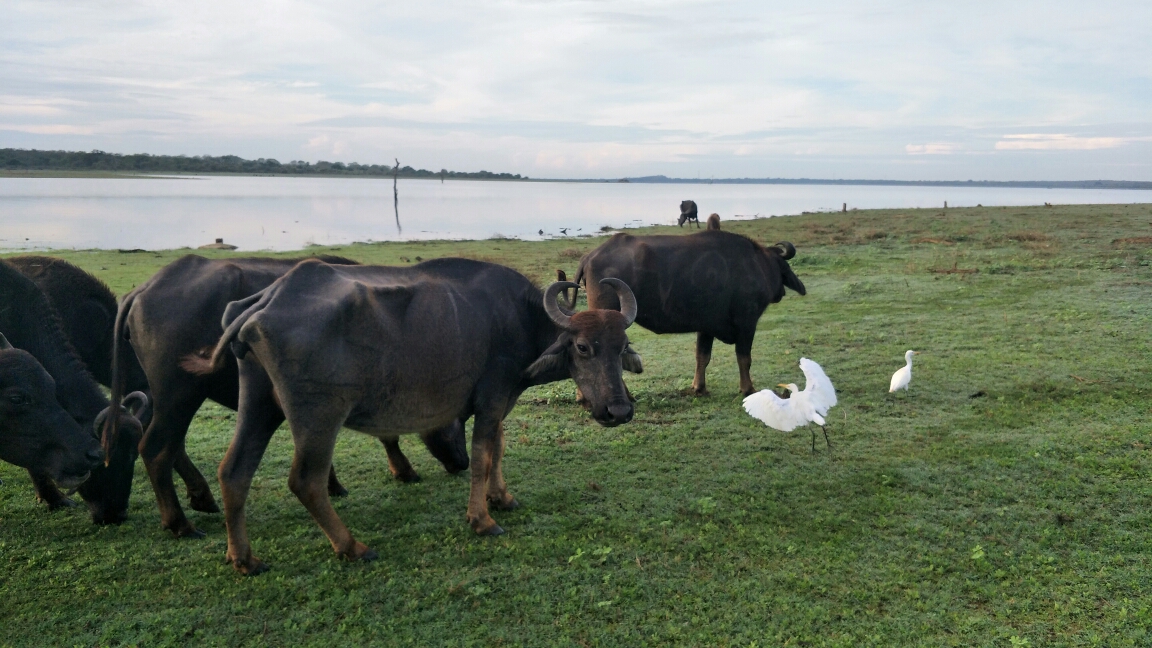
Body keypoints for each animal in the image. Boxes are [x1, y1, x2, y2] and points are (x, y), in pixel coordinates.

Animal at [107, 254, 467, 537]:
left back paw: (201, 499)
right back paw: (180, 524)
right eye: (457, 420)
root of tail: (147, 288)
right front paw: (403, 470)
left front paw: (334, 484)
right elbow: (387, 435)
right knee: (156, 448)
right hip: (179, 394)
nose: (462, 461)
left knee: (171, 445)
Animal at [184, 255, 645, 569]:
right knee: (306, 481)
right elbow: (482, 456)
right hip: (319, 416)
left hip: (259, 404)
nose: (619, 409)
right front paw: (482, 519)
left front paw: (501, 497)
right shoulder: (492, 398)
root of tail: (265, 299)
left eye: (621, 346)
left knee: (234, 471)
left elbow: (498, 447)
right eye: (582, 347)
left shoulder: (499, 403)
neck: (519, 318)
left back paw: (244, 558)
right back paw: (352, 546)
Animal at [573, 229, 801, 396]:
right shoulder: (747, 323)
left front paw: (699, 387)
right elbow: (744, 358)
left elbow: (702, 356)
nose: (781, 292)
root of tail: (590, 257)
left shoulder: (707, 327)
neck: (755, 264)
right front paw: (748, 389)